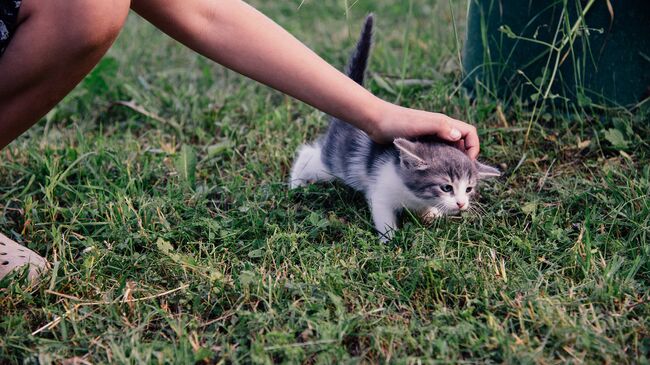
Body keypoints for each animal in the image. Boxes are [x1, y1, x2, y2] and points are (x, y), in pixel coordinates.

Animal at [290, 14, 502, 242]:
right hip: (335, 165)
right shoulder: (380, 191)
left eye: (469, 188)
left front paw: (431, 214)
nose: (461, 204)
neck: (413, 194)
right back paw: (295, 183)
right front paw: (389, 240)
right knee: (309, 154)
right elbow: (383, 214)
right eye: (447, 187)